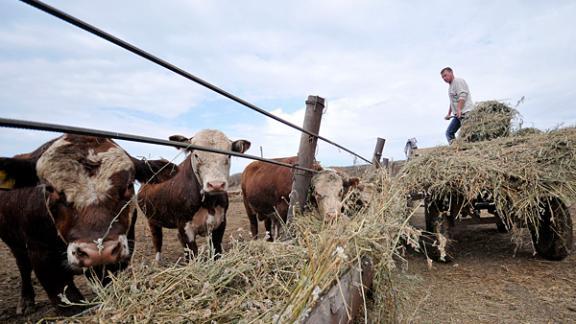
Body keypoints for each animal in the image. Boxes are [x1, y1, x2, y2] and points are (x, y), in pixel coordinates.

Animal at [0, 134, 176, 314]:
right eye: (49, 188)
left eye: (128, 185)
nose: (99, 252)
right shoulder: (42, 255)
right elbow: (72, 304)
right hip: (15, 244)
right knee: (23, 267)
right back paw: (26, 301)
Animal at [138, 129, 251, 260]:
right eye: (196, 155)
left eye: (228, 155)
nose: (216, 185)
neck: (209, 203)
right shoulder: (185, 227)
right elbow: (192, 255)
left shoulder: (220, 223)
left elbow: (216, 251)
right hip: (151, 219)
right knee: (157, 240)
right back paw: (158, 261)